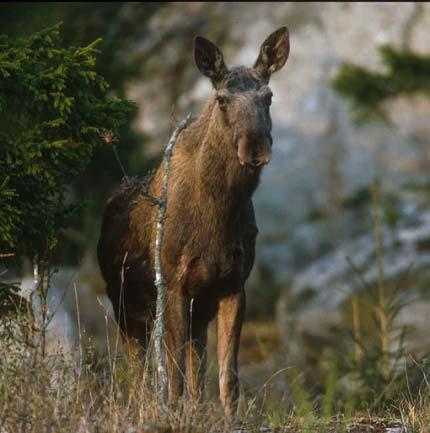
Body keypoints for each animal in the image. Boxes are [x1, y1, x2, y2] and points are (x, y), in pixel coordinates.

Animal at [98, 27, 288, 418]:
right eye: (222, 100)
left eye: (268, 96)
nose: (255, 146)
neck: (220, 210)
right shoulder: (172, 284)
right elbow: (174, 379)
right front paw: (172, 415)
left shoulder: (232, 285)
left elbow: (227, 377)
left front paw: (229, 419)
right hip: (124, 305)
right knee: (139, 373)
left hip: (196, 309)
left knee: (195, 366)